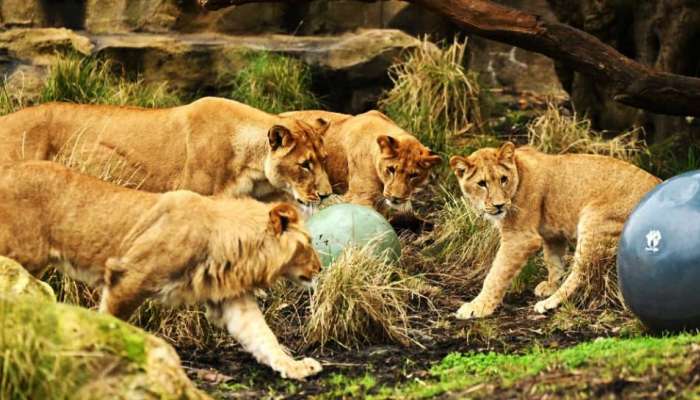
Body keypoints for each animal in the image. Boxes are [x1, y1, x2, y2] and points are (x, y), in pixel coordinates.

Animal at [0, 161, 324, 380]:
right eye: (308, 243)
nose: (321, 268)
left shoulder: (232, 298)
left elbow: (263, 336)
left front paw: (296, 367)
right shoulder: (127, 277)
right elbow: (112, 321)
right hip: (22, 253)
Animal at [452, 142, 660, 318]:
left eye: (503, 179)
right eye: (482, 183)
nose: (499, 205)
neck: (518, 173)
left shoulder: (521, 238)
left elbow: (496, 274)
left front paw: (478, 307)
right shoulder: (551, 235)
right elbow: (553, 260)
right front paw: (551, 284)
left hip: (594, 221)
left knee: (581, 274)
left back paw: (549, 303)